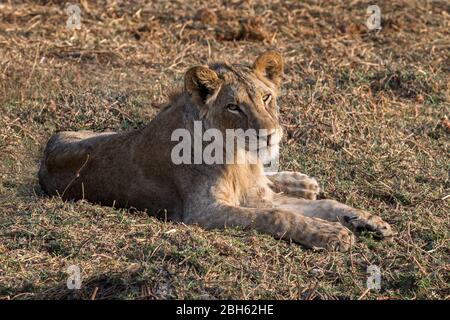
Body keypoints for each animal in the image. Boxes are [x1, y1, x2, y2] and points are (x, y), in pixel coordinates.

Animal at [39, 50, 394, 250]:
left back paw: (303, 182)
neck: (241, 158)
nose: (270, 135)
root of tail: (45, 156)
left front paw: (370, 220)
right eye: (233, 107)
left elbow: (325, 205)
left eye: (266, 97)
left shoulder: (255, 194)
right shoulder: (202, 213)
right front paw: (332, 234)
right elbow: (278, 216)